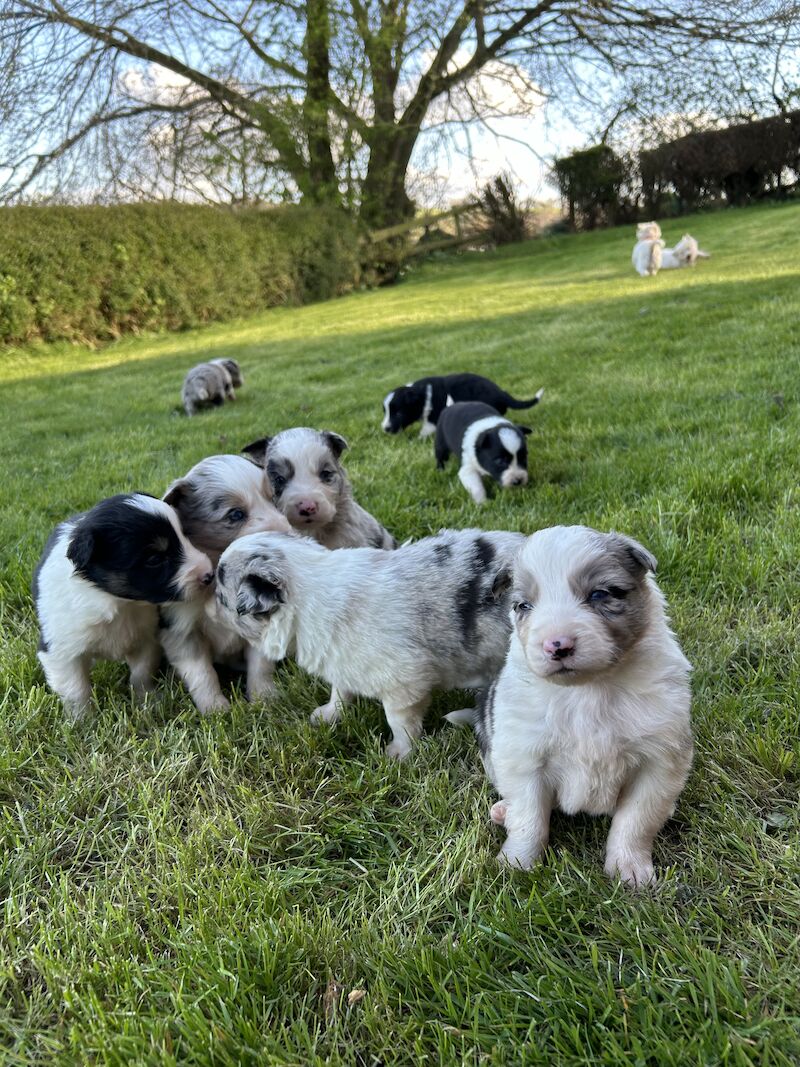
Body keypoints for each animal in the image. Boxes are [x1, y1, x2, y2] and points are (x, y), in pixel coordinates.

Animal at [33, 495, 214, 721]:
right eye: (155, 559)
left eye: (185, 536)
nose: (209, 575)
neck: (119, 602)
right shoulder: (59, 650)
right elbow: (75, 689)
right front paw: (83, 721)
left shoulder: (146, 639)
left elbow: (141, 674)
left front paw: (148, 703)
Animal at [381, 373, 546, 435]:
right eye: (386, 412)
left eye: (398, 413)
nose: (385, 429)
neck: (421, 395)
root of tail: (501, 393)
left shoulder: (433, 417)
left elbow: (426, 429)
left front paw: (420, 438)